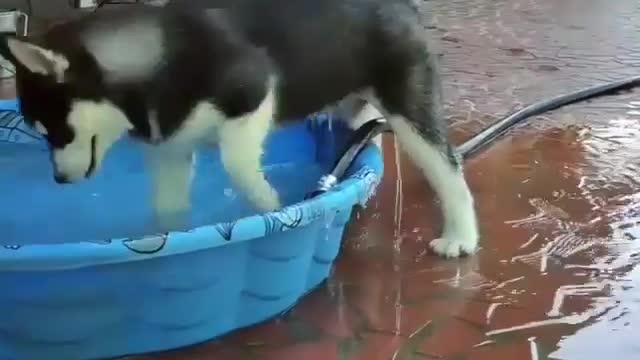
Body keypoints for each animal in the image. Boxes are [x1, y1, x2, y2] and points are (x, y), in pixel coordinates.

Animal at [0, 0, 478, 258]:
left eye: (55, 130)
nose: (59, 179)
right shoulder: (171, 148)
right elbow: (168, 207)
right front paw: (169, 236)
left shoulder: (254, 91)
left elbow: (237, 163)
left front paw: (274, 209)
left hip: (407, 104)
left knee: (447, 166)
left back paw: (460, 235)